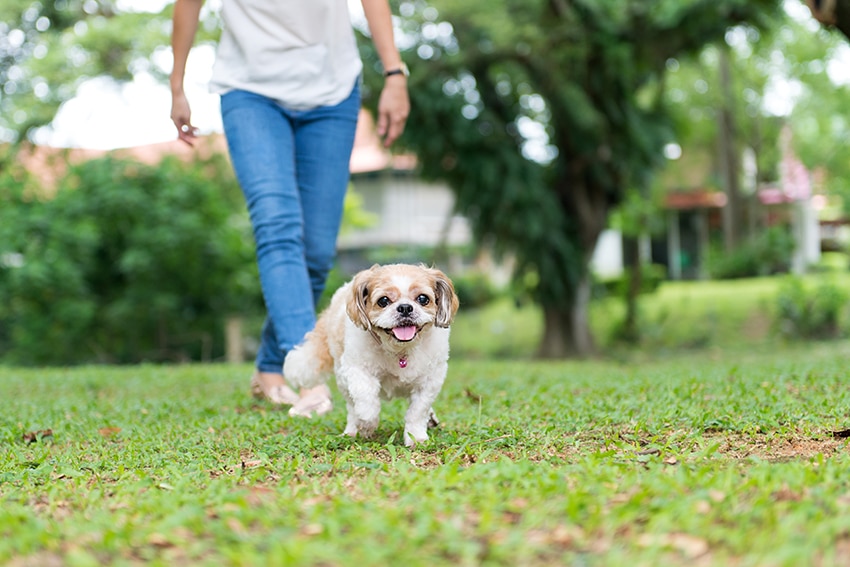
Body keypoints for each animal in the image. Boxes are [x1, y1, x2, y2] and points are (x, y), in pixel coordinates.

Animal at [284, 264, 458, 446]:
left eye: (423, 299)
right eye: (383, 301)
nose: (405, 307)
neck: (400, 350)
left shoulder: (430, 381)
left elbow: (417, 411)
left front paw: (415, 437)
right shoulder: (357, 370)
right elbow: (366, 401)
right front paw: (367, 424)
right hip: (342, 378)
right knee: (352, 407)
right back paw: (352, 430)